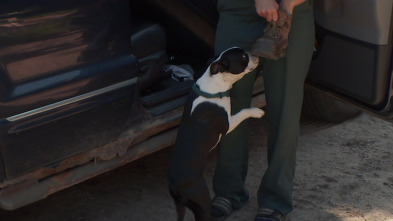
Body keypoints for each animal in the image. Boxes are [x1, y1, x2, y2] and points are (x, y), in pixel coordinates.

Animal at [168, 47, 264, 221]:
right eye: (244, 57)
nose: (255, 53)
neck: (212, 87)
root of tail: (174, 185)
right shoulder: (229, 124)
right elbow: (243, 112)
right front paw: (256, 111)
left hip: (180, 206)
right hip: (202, 202)